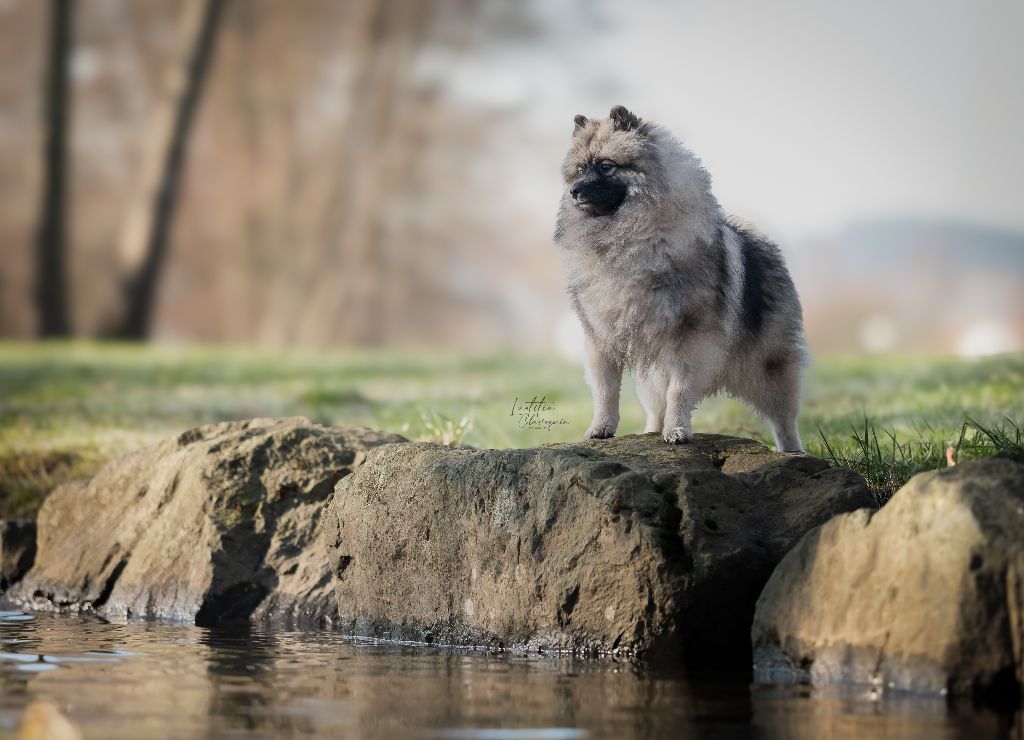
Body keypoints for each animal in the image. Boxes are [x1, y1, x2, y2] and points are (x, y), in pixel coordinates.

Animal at [557, 104, 811, 452]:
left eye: (606, 167)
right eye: (581, 169)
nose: (574, 191)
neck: (629, 238)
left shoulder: (690, 339)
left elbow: (678, 391)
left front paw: (678, 431)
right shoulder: (602, 337)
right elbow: (605, 391)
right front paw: (601, 428)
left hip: (770, 364)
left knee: (784, 417)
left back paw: (793, 451)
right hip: (651, 375)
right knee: (655, 407)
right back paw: (650, 432)